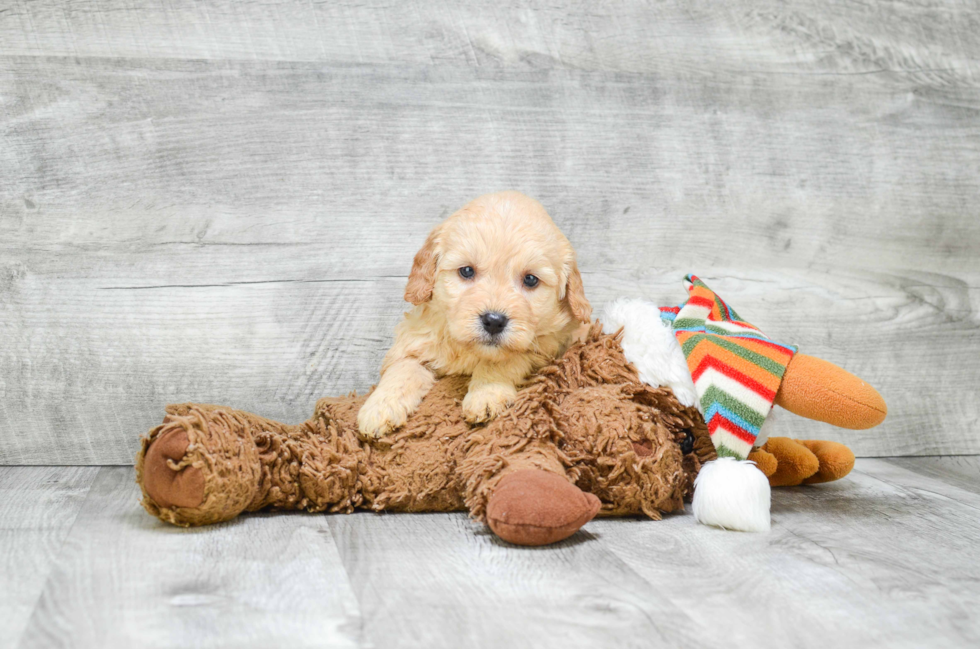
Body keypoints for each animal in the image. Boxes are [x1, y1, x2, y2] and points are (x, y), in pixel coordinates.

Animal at [358, 190, 592, 438]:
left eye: (530, 279)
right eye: (467, 271)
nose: (494, 322)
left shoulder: (548, 345)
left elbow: (504, 360)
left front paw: (485, 395)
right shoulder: (415, 340)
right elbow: (403, 368)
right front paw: (379, 408)